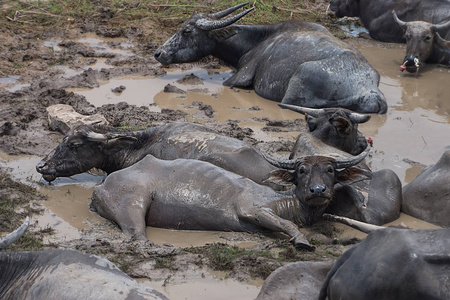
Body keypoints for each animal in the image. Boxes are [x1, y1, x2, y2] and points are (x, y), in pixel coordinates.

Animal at [90, 148, 370, 251]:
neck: (287, 202)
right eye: (302, 171)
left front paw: (344, 240)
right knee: (135, 232)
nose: (318, 190)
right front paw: (301, 240)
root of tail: (102, 184)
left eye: (330, 170)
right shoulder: (253, 210)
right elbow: (287, 225)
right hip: (132, 200)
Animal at [154, 2, 386, 113]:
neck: (258, 40)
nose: (158, 52)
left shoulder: (241, 77)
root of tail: (371, 93)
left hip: (297, 82)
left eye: (186, 31)